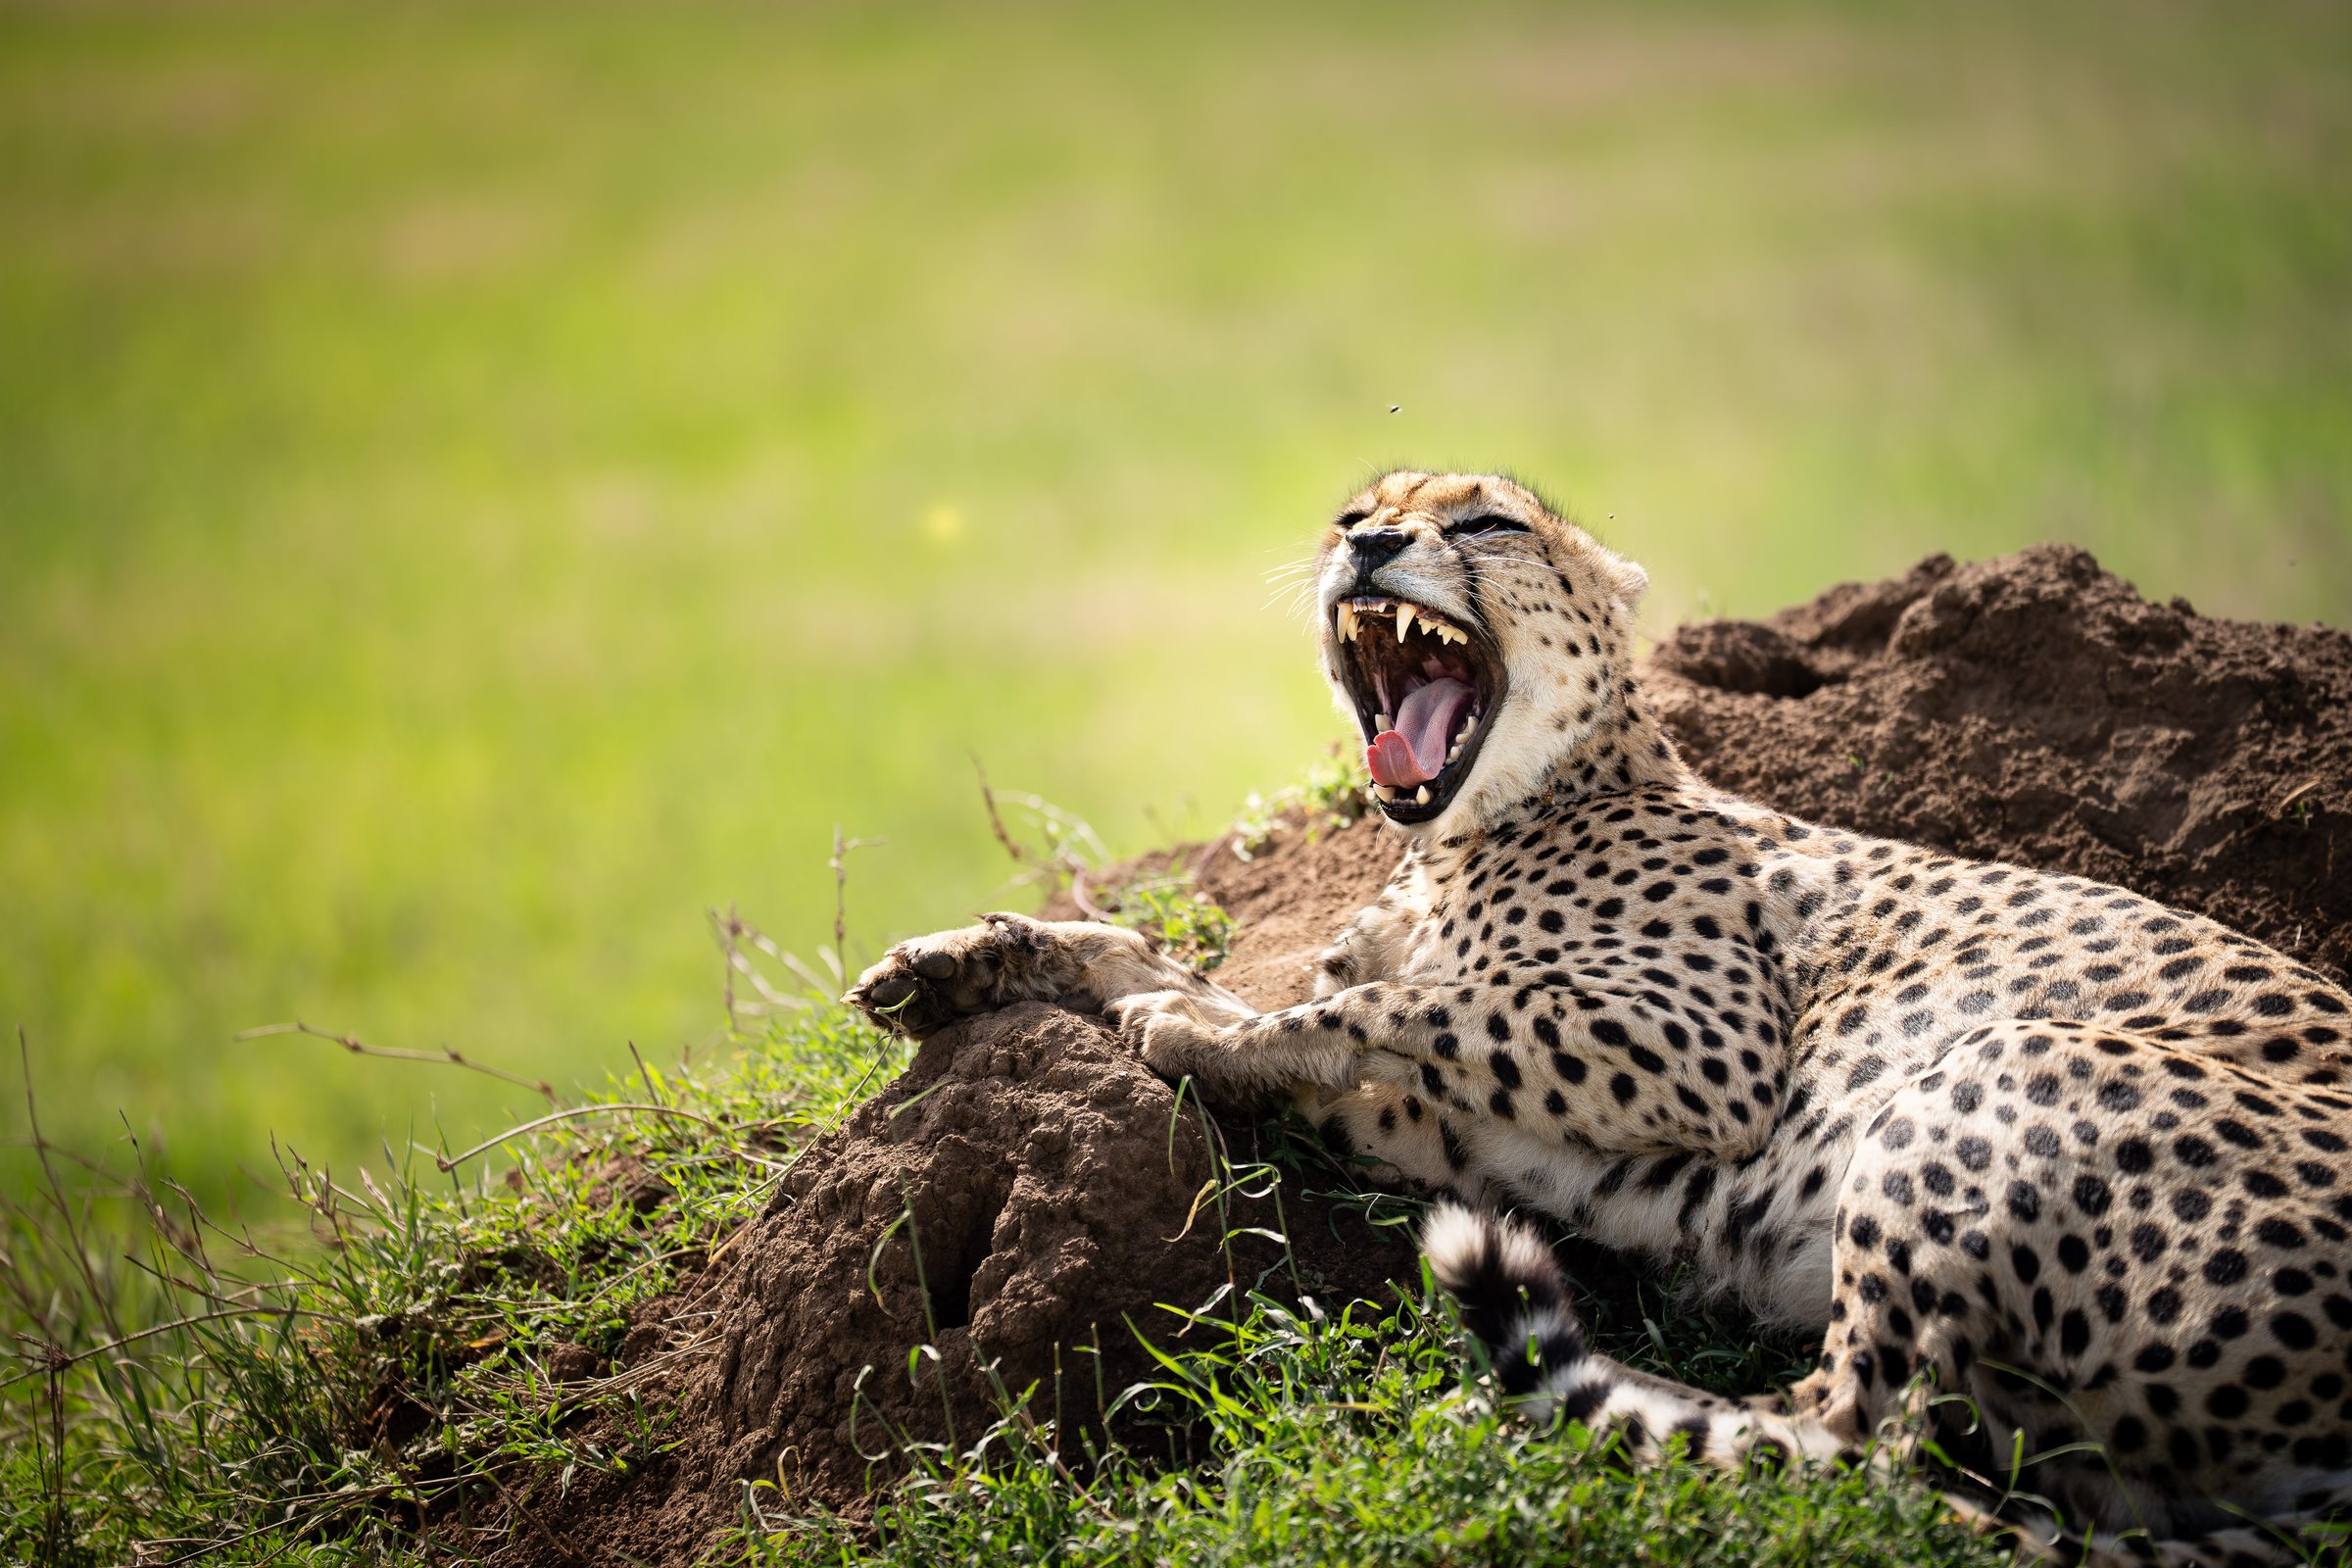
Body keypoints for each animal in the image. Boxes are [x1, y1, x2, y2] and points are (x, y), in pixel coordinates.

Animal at [847, 470, 2352, 1564]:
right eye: (1356, 509)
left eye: (1483, 522)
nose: (1366, 544)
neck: (1482, 821)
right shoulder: (1442, 1116)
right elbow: (1201, 967)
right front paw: (967, 960)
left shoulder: (1710, 1052)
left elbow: (1410, 999)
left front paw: (1195, 1034)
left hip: (2011, 1060)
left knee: (1851, 1448)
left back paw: (1543, 1399)